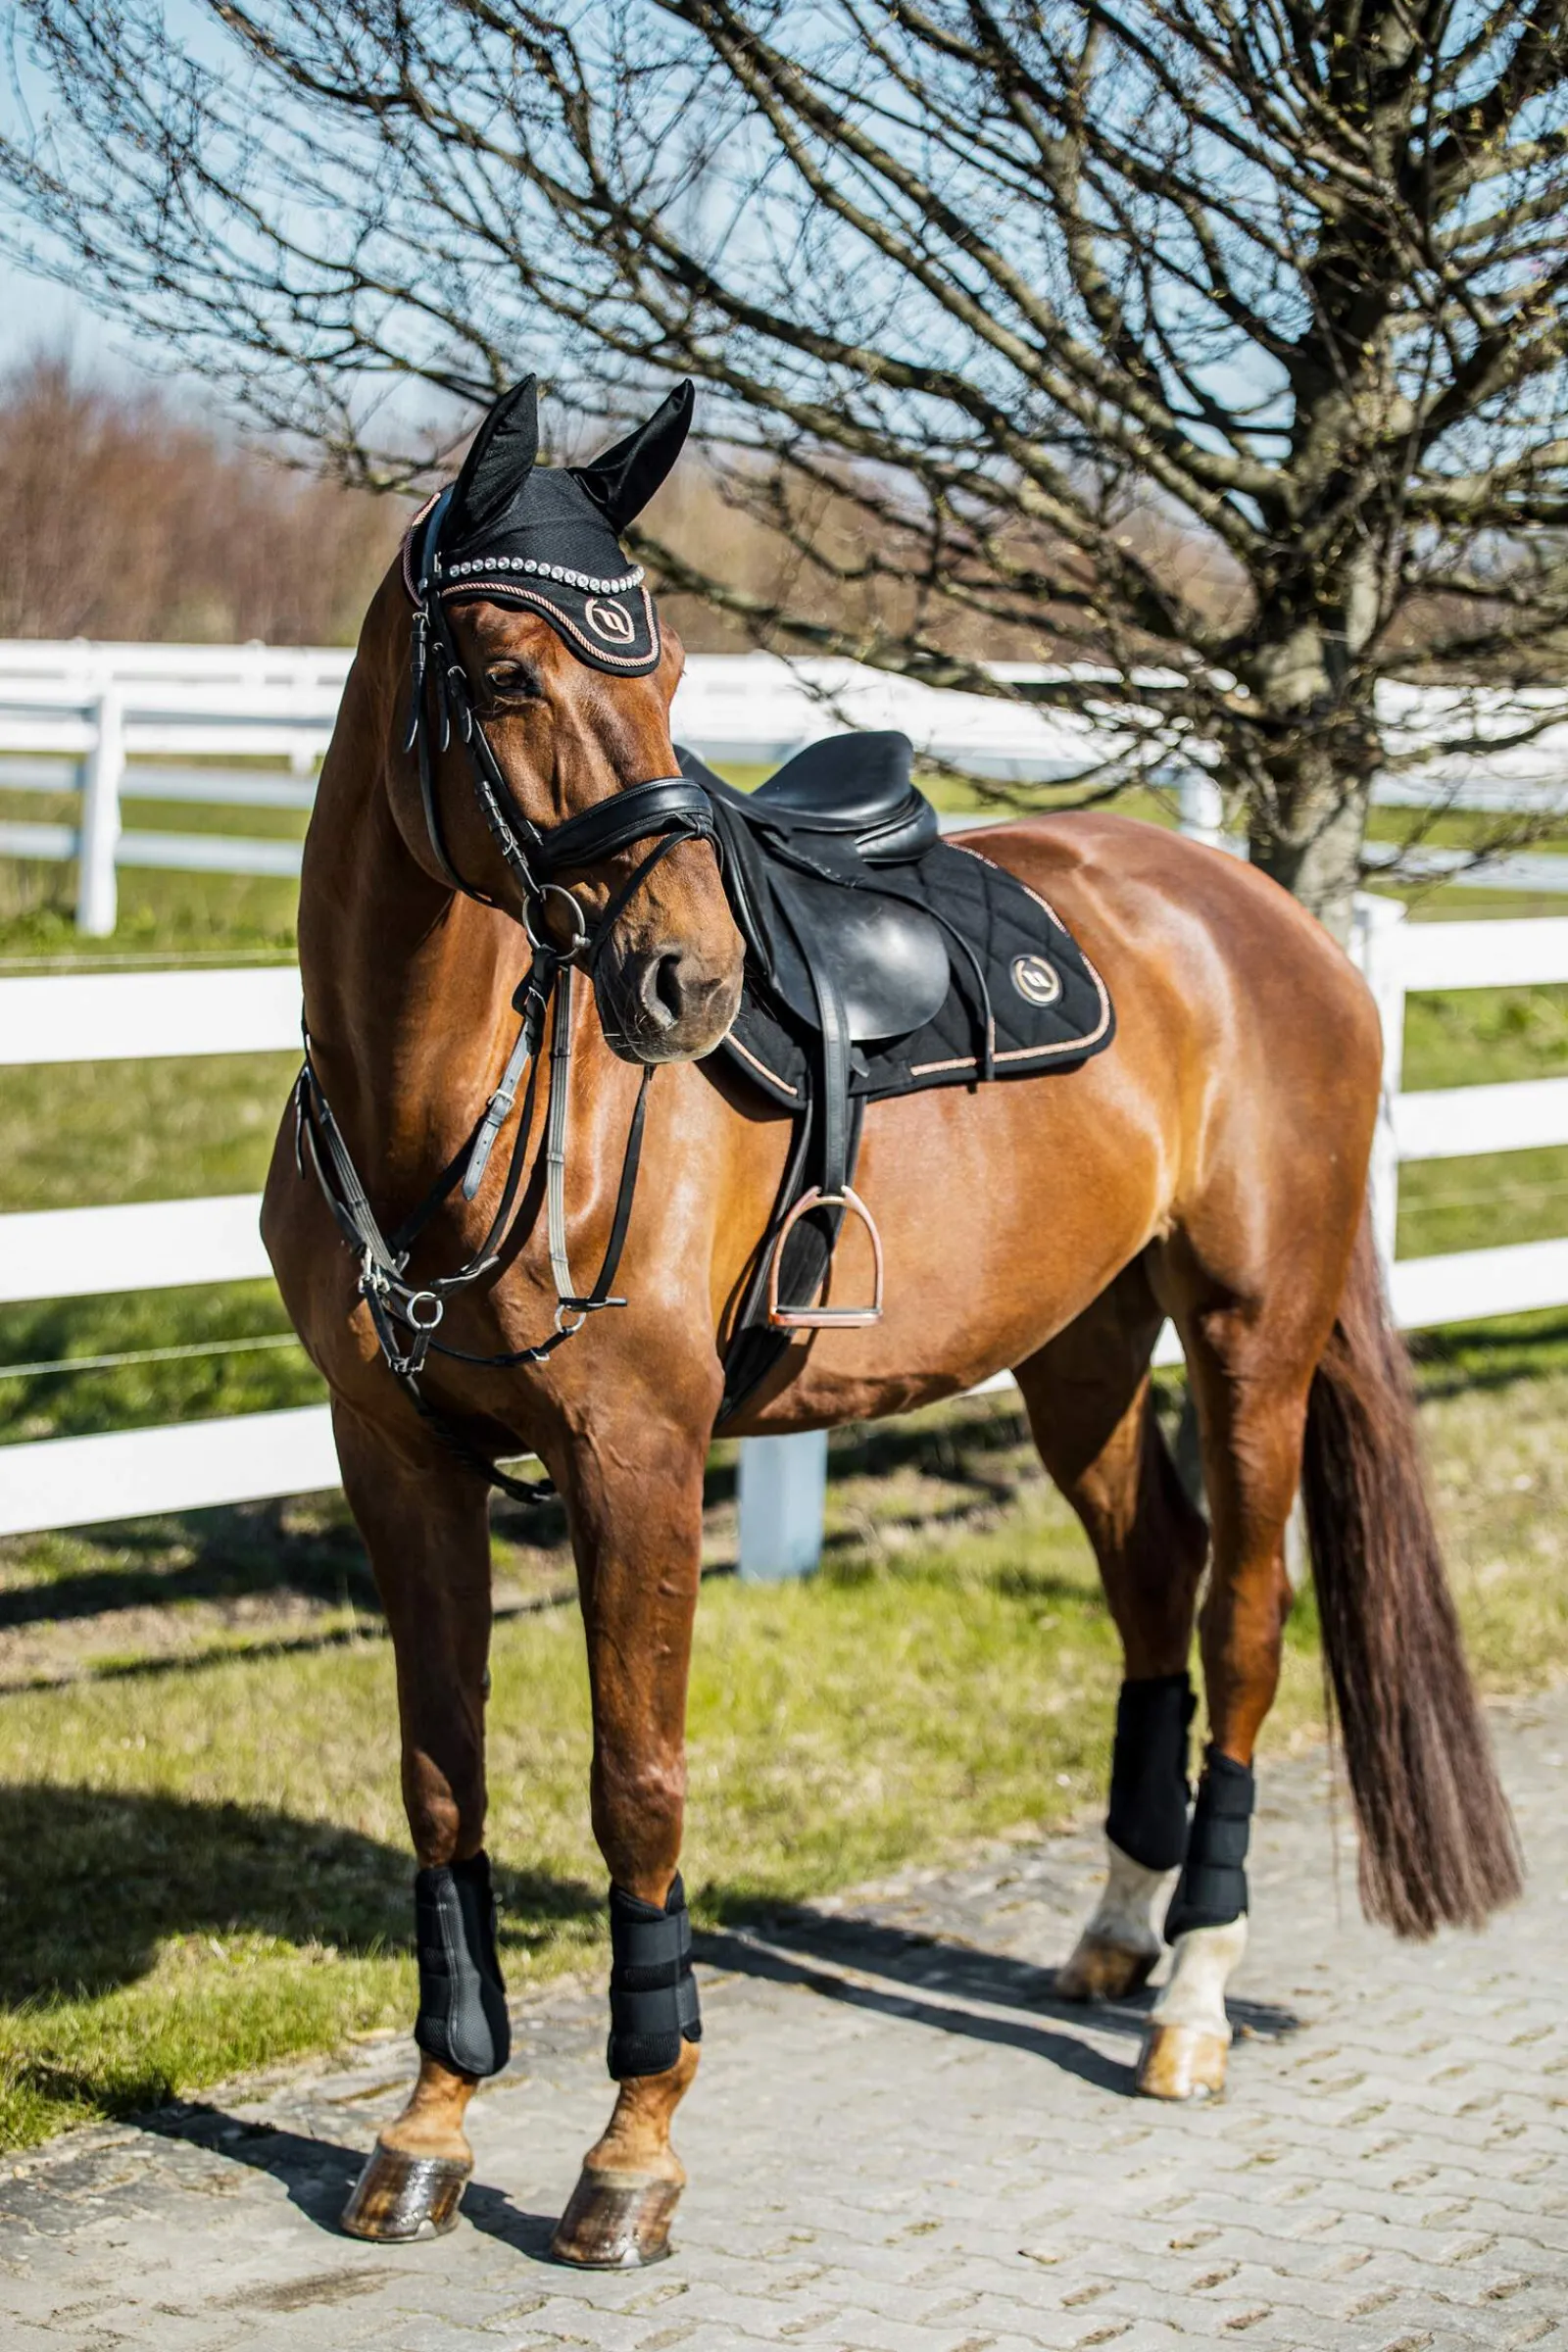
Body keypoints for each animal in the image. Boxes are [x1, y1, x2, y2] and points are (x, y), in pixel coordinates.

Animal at [262, 376, 1520, 2268]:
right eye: (500, 674)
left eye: (667, 670)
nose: (687, 985)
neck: (451, 1111)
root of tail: (1267, 921)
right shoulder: (395, 1458)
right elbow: (439, 1778)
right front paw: (427, 2125)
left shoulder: (638, 1460)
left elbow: (638, 1782)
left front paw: (631, 2150)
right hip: (1081, 1349)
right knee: (1152, 1579)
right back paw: (1118, 1929)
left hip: (1253, 1336)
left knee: (1240, 1621)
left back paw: (1192, 1995)